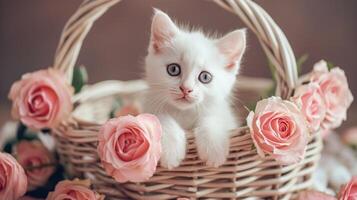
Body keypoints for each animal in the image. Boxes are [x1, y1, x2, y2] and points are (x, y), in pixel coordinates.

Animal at [142, 9, 245, 169]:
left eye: (205, 77)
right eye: (173, 69)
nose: (186, 89)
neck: (184, 113)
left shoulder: (222, 113)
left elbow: (214, 118)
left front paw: (214, 148)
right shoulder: (149, 108)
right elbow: (161, 117)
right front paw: (171, 150)